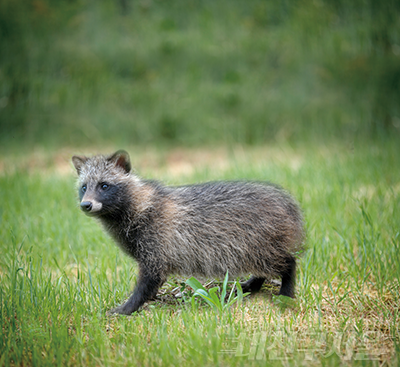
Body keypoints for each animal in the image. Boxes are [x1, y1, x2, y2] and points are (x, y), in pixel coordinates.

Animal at [71, 151, 304, 314]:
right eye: (84, 187)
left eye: (104, 185)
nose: (86, 205)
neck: (137, 203)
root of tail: (288, 204)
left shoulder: (156, 242)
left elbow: (149, 279)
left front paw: (129, 306)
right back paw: (254, 282)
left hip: (261, 238)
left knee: (285, 261)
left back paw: (286, 288)